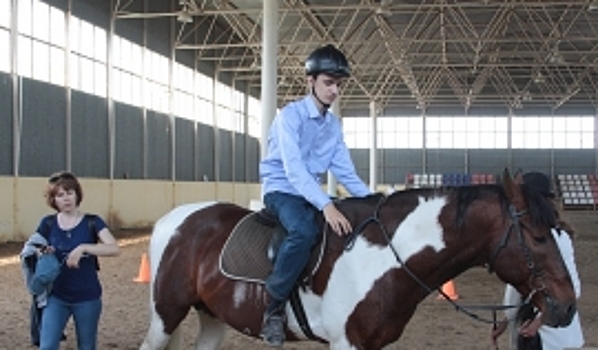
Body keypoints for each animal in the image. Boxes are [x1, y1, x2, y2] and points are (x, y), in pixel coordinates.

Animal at [139, 173, 576, 350]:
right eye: (538, 236)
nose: (566, 306)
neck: (385, 258)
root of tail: (173, 220)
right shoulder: (345, 342)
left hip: (211, 316)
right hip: (166, 314)